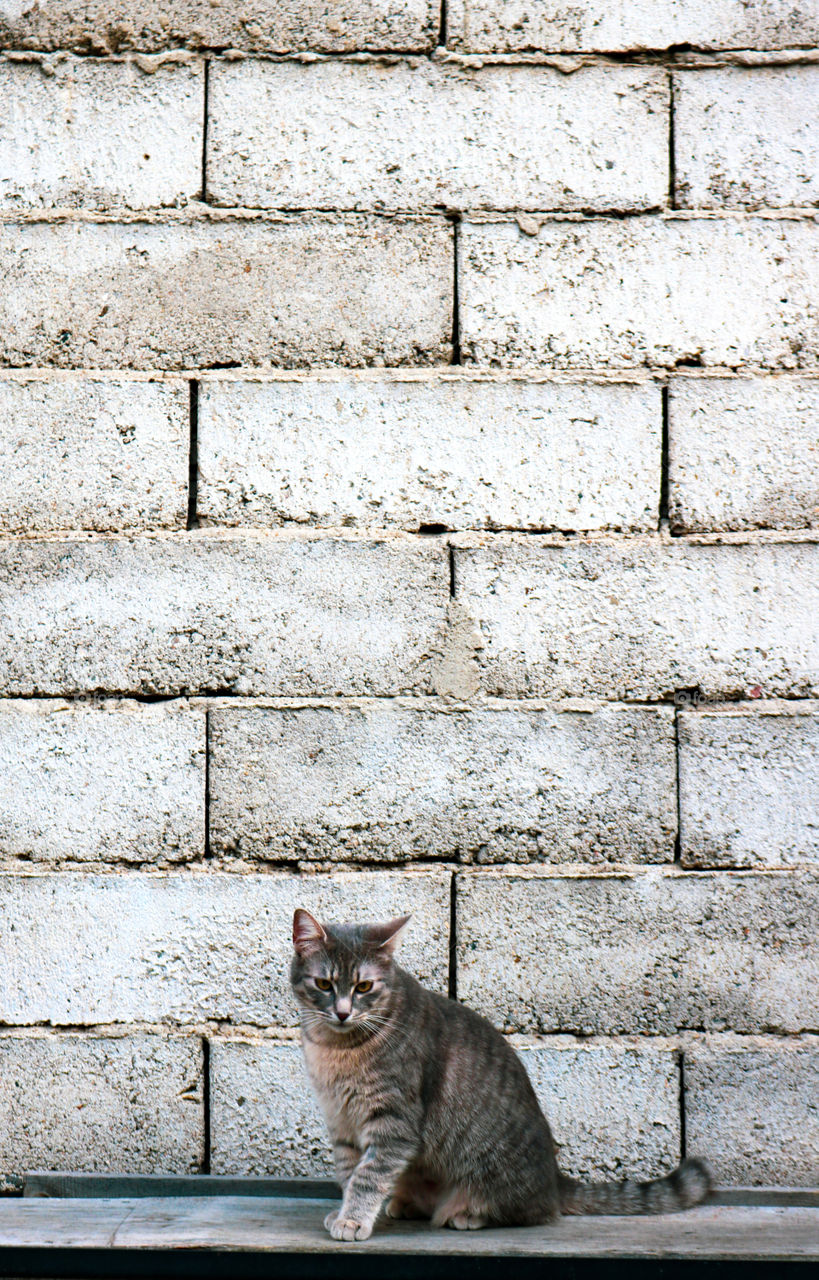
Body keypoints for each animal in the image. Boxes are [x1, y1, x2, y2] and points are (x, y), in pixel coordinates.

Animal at [289, 911, 711, 1239]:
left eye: (363, 986)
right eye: (324, 984)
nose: (343, 1012)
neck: (336, 1049)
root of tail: (554, 1178)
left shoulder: (393, 1122)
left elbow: (368, 1175)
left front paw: (353, 1219)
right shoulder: (341, 1121)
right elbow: (349, 1172)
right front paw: (346, 1211)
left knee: (531, 1211)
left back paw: (467, 1214)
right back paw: (405, 1204)